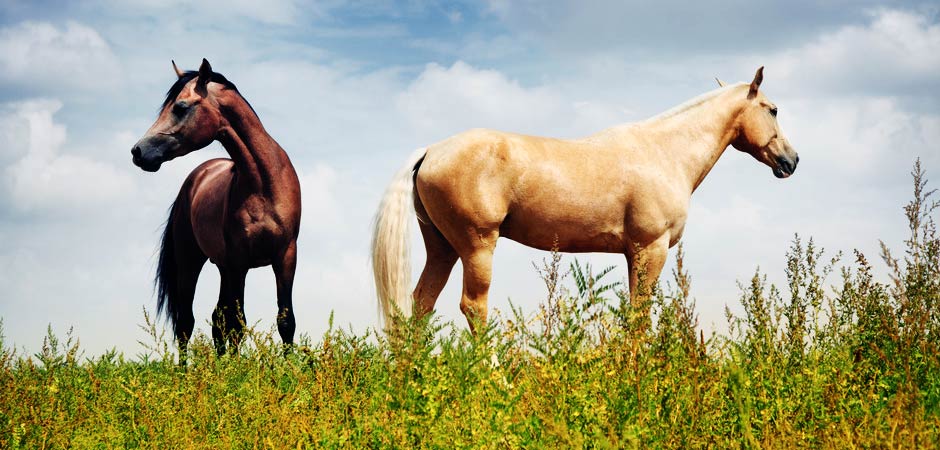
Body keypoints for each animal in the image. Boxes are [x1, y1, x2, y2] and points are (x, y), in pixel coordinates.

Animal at [130, 59, 302, 358]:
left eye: (180, 107)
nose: (138, 152)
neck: (263, 184)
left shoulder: (285, 256)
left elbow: (285, 320)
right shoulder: (238, 261)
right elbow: (236, 323)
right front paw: (235, 369)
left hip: (223, 267)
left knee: (215, 320)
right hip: (191, 262)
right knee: (187, 323)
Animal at [370, 67, 796, 334]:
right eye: (773, 110)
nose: (791, 161)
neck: (663, 152)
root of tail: (430, 151)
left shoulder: (633, 253)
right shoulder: (651, 248)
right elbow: (641, 313)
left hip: (442, 248)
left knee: (419, 305)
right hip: (477, 247)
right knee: (473, 307)